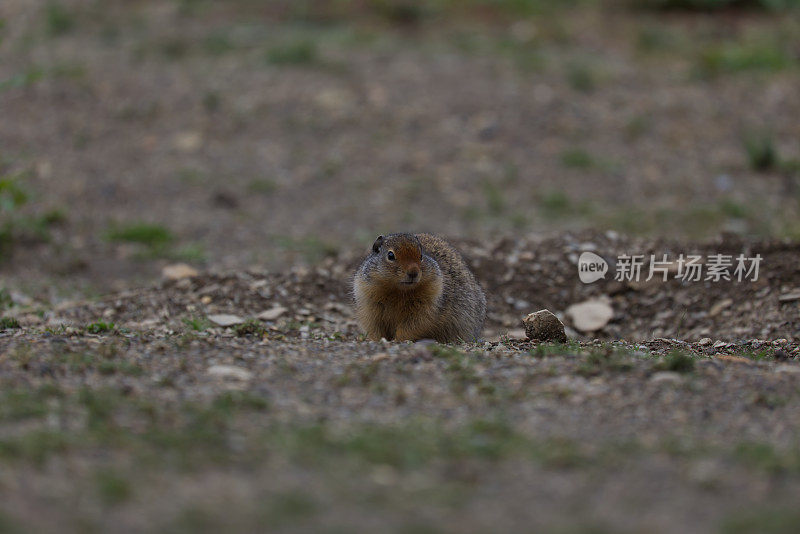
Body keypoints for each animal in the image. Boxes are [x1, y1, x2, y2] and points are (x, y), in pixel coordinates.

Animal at [352, 233, 488, 344]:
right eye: (390, 255)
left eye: (421, 255)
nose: (413, 272)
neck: (398, 291)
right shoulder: (368, 301)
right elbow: (374, 326)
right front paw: (376, 339)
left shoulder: (429, 303)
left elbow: (414, 325)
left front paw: (398, 340)